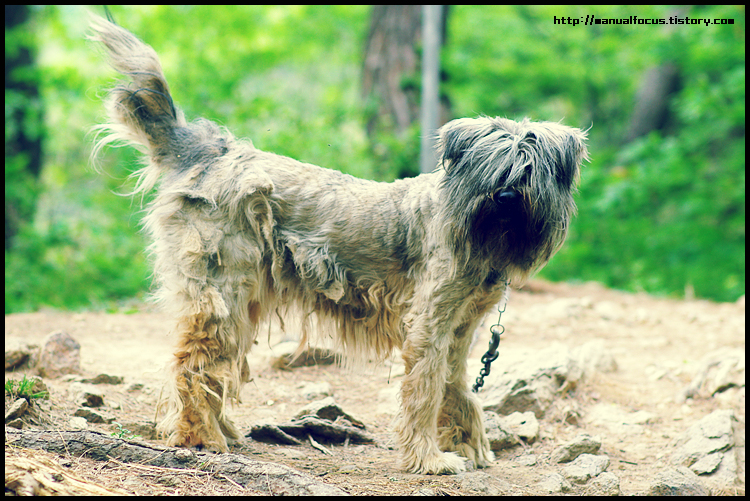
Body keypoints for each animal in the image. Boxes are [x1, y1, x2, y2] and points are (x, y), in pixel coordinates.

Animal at [91, 14, 592, 472]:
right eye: (492, 169)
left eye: (528, 171)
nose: (505, 198)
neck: (473, 232)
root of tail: (209, 151)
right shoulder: (429, 325)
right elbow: (426, 391)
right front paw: (429, 460)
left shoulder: (459, 329)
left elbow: (457, 388)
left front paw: (467, 446)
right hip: (221, 293)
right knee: (193, 364)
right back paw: (202, 439)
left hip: (242, 301)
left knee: (215, 366)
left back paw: (223, 432)